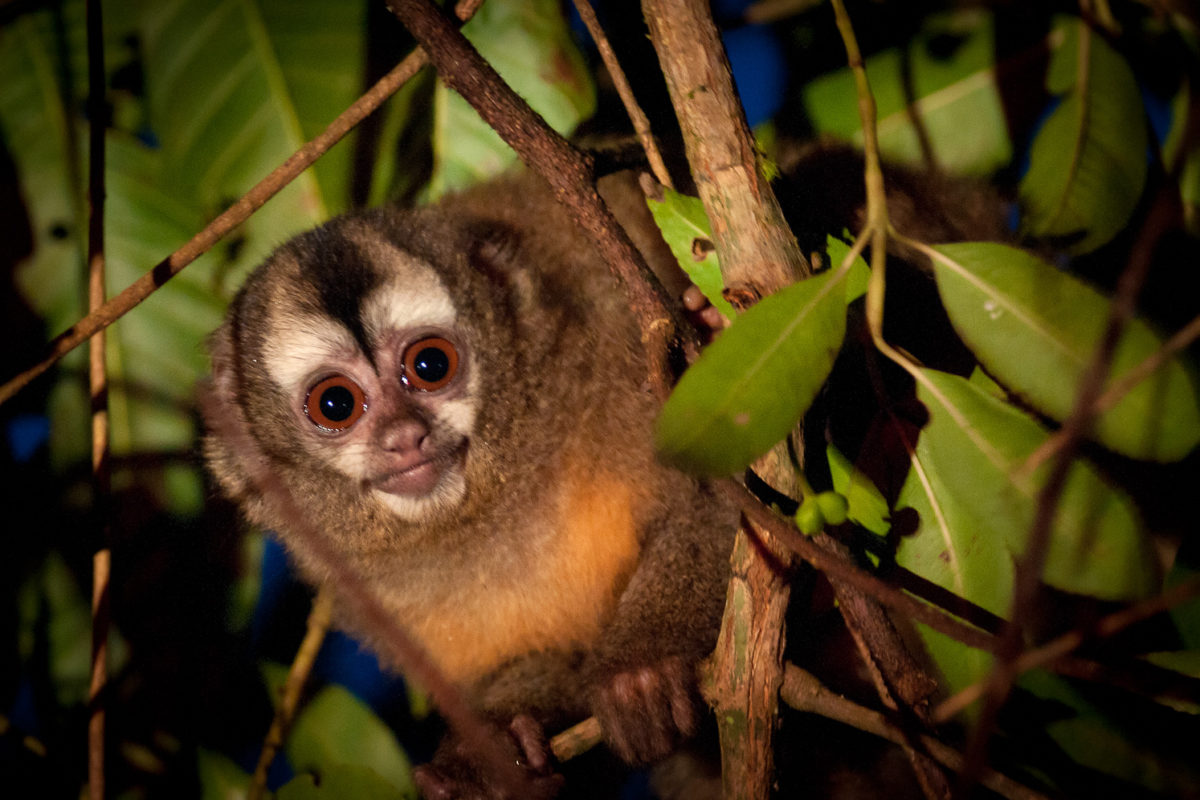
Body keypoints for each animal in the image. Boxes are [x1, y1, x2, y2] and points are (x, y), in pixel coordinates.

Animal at [199, 171, 740, 797]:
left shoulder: (624, 354)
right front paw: (490, 752)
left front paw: (643, 669)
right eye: (335, 404)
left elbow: (720, 510)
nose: (405, 437)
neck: (489, 507)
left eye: (431, 365)